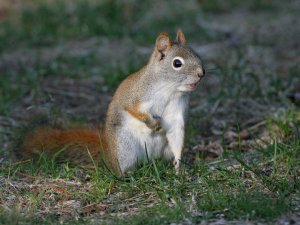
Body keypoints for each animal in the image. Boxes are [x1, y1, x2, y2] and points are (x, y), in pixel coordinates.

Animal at [18, 29, 205, 176]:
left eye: (197, 54)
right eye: (177, 63)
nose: (201, 73)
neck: (170, 90)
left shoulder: (176, 116)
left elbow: (177, 138)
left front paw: (178, 168)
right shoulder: (136, 96)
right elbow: (133, 109)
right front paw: (153, 123)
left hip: (162, 149)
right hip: (125, 148)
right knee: (120, 169)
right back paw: (128, 174)